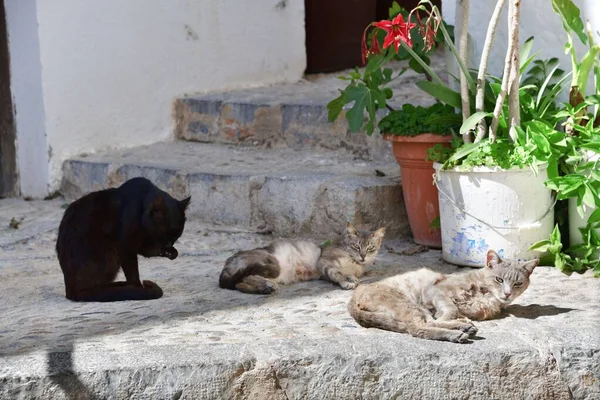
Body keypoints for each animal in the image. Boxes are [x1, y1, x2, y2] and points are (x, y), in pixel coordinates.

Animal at [55, 177, 190, 302]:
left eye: (177, 235)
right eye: (163, 234)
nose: (168, 244)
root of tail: (70, 291)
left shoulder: (141, 244)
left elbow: (151, 251)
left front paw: (171, 252)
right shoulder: (126, 245)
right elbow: (133, 272)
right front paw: (138, 288)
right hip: (110, 252)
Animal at [219, 222, 384, 294]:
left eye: (370, 248)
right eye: (356, 246)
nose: (363, 256)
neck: (353, 262)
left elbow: (347, 274)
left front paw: (352, 278)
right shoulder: (324, 262)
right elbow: (337, 274)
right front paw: (346, 282)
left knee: (239, 283)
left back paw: (264, 288)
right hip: (271, 264)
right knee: (244, 278)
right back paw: (266, 286)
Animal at [346, 248, 540, 342]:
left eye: (518, 284)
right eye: (499, 279)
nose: (507, 293)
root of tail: (351, 303)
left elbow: (449, 313)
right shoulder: (436, 290)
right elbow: (450, 309)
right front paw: (448, 316)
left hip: (413, 307)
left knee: (424, 324)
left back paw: (464, 327)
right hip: (407, 303)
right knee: (417, 329)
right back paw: (458, 333)